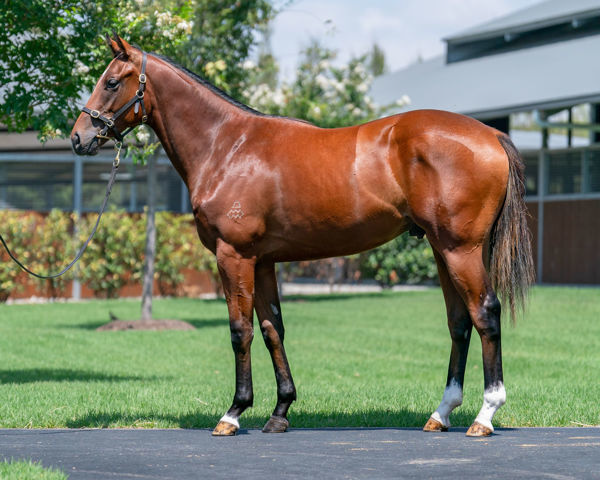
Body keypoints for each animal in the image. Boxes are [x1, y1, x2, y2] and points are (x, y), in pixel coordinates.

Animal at [70, 35, 536, 436]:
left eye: (111, 82)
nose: (79, 137)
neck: (228, 146)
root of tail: (492, 134)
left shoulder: (233, 256)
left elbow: (240, 330)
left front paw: (234, 412)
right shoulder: (262, 261)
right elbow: (272, 328)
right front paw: (280, 411)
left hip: (461, 250)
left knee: (485, 314)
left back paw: (485, 415)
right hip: (443, 250)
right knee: (459, 322)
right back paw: (441, 414)